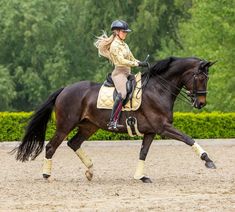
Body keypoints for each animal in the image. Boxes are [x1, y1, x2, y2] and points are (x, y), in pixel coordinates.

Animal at [13, 57, 217, 183]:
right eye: (200, 77)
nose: (201, 103)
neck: (158, 89)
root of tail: (65, 89)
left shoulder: (151, 131)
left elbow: (143, 153)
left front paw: (141, 177)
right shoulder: (163, 127)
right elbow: (188, 138)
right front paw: (208, 160)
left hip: (89, 127)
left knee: (74, 143)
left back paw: (90, 171)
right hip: (65, 126)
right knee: (51, 147)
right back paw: (47, 175)